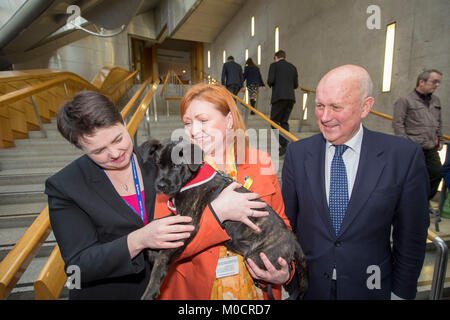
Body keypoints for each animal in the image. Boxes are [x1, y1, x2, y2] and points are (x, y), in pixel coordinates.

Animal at [141, 138, 308, 300]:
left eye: (176, 165)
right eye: (157, 164)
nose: (160, 186)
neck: (192, 178)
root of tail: (294, 241)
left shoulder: (188, 223)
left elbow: (163, 258)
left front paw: (151, 290)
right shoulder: (177, 216)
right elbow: (154, 223)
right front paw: (150, 250)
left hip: (257, 257)